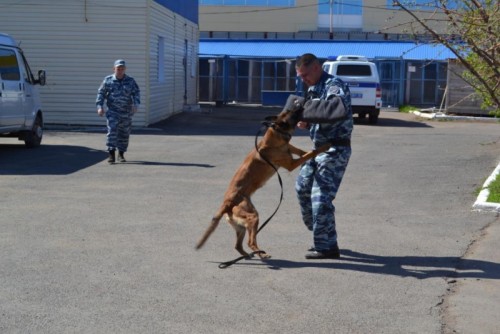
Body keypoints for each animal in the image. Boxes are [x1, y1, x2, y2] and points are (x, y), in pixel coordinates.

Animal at [196, 96, 332, 258]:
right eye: (292, 112)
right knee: (250, 242)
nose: (301, 103)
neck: (276, 134)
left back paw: (248, 255)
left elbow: (304, 151)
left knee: (238, 245)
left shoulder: (291, 149)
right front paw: (326, 146)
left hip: (242, 226)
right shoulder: (291, 163)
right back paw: (261, 254)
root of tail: (226, 203)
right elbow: (311, 152)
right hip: (253, 217)